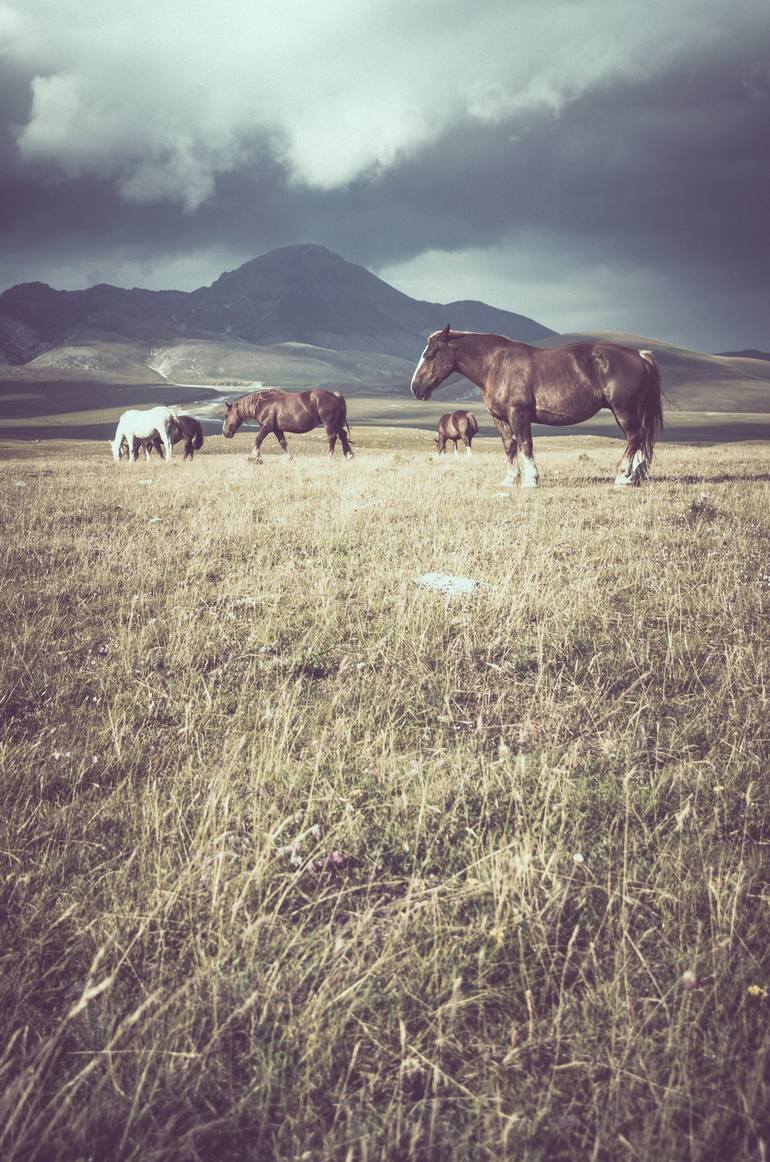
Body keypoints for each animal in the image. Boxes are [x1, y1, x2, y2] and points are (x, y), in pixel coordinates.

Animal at [222, 390, 355, 462]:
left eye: (226, 415)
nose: (225, 433)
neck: (263, 404)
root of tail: (335, 395)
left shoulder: (267, 426)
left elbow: (258, 439)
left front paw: (254, 456)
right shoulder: (276, 429)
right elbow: (283, 443)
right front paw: (290, 458)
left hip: (329, 423)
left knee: (332, 437)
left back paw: (329, 457)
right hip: (337, 423)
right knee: (343, 435)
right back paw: (349, 455)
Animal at [408, 327, 664, 485]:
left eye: (430, 354)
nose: (415, 388)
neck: (496, 366)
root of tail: (639, 356)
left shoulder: (518, 414)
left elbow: (525, 444)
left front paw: (531, 479)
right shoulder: (500, 418)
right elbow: (509, 446)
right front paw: (510, 479)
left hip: (624, 410)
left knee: (634, 437)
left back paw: (622, 476)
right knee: (640, 438)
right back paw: (635, 475)